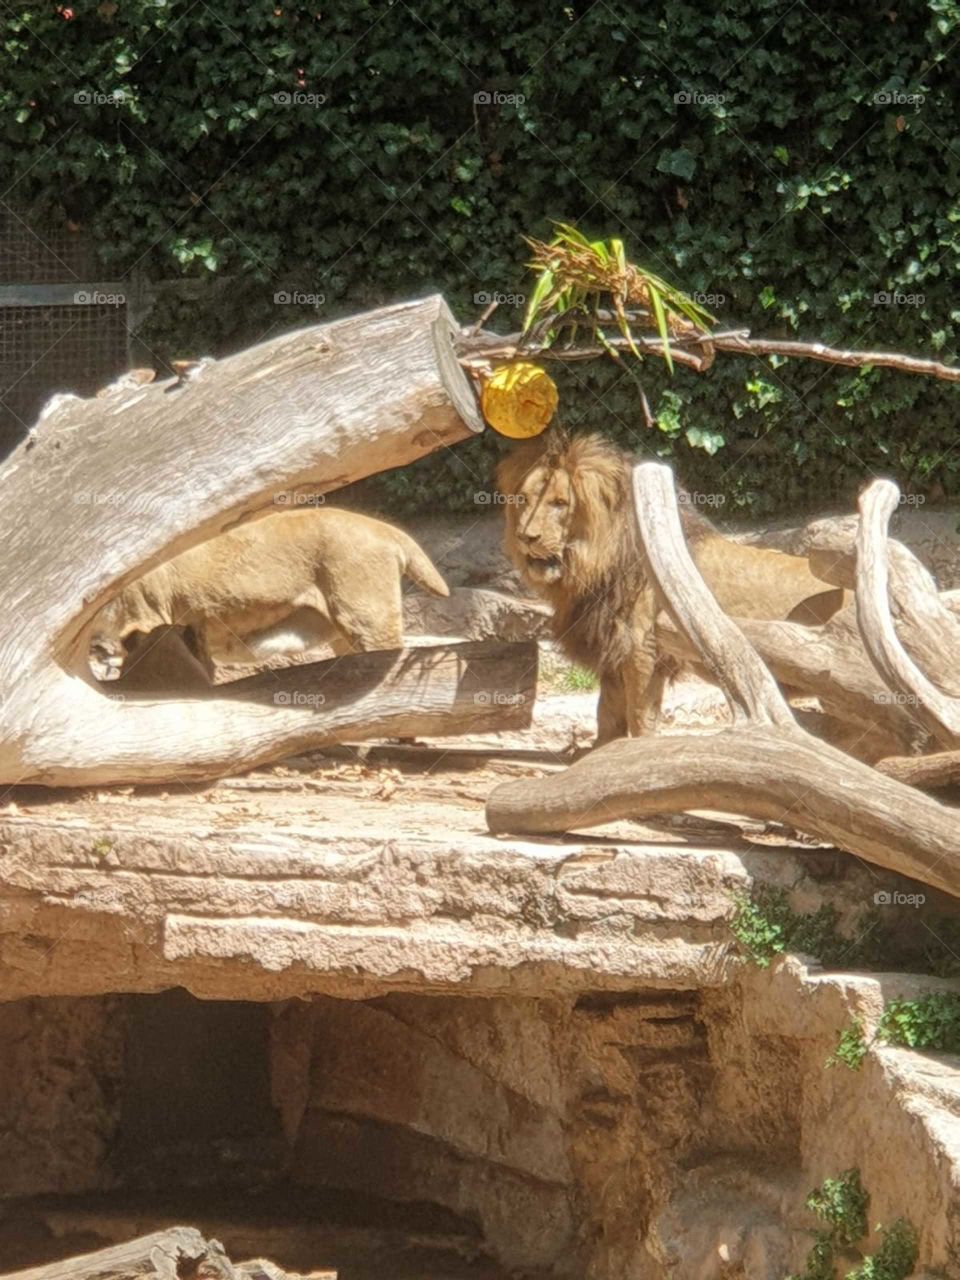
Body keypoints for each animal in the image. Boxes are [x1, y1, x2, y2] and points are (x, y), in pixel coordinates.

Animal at [496, 430, 845, 743]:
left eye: (559, 503)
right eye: (523, 500)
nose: (526, 537)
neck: (593, 564)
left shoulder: (643, 652)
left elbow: (639, 719)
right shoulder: (614, 654)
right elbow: (607, 718)